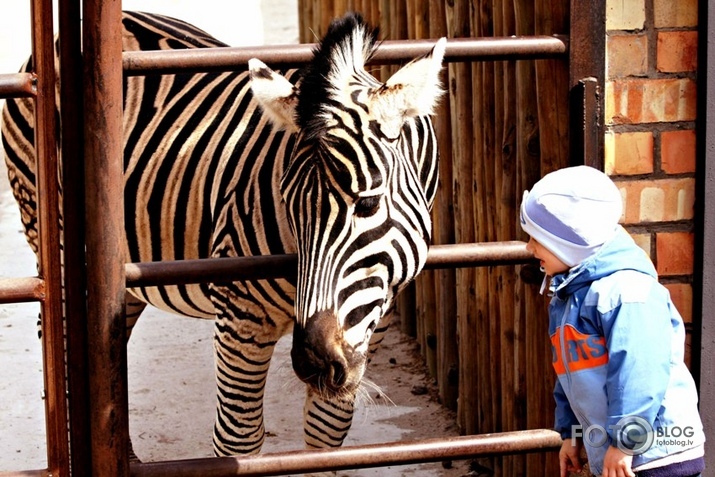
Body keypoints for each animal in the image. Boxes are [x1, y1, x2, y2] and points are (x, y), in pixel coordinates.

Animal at [1, 10, 448, 458]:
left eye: (368, 203)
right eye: (287, 202)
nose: (312, 363)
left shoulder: (373, 324)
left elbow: (327, 432)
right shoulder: (240, 319)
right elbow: (238, 440)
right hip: (47, 226)